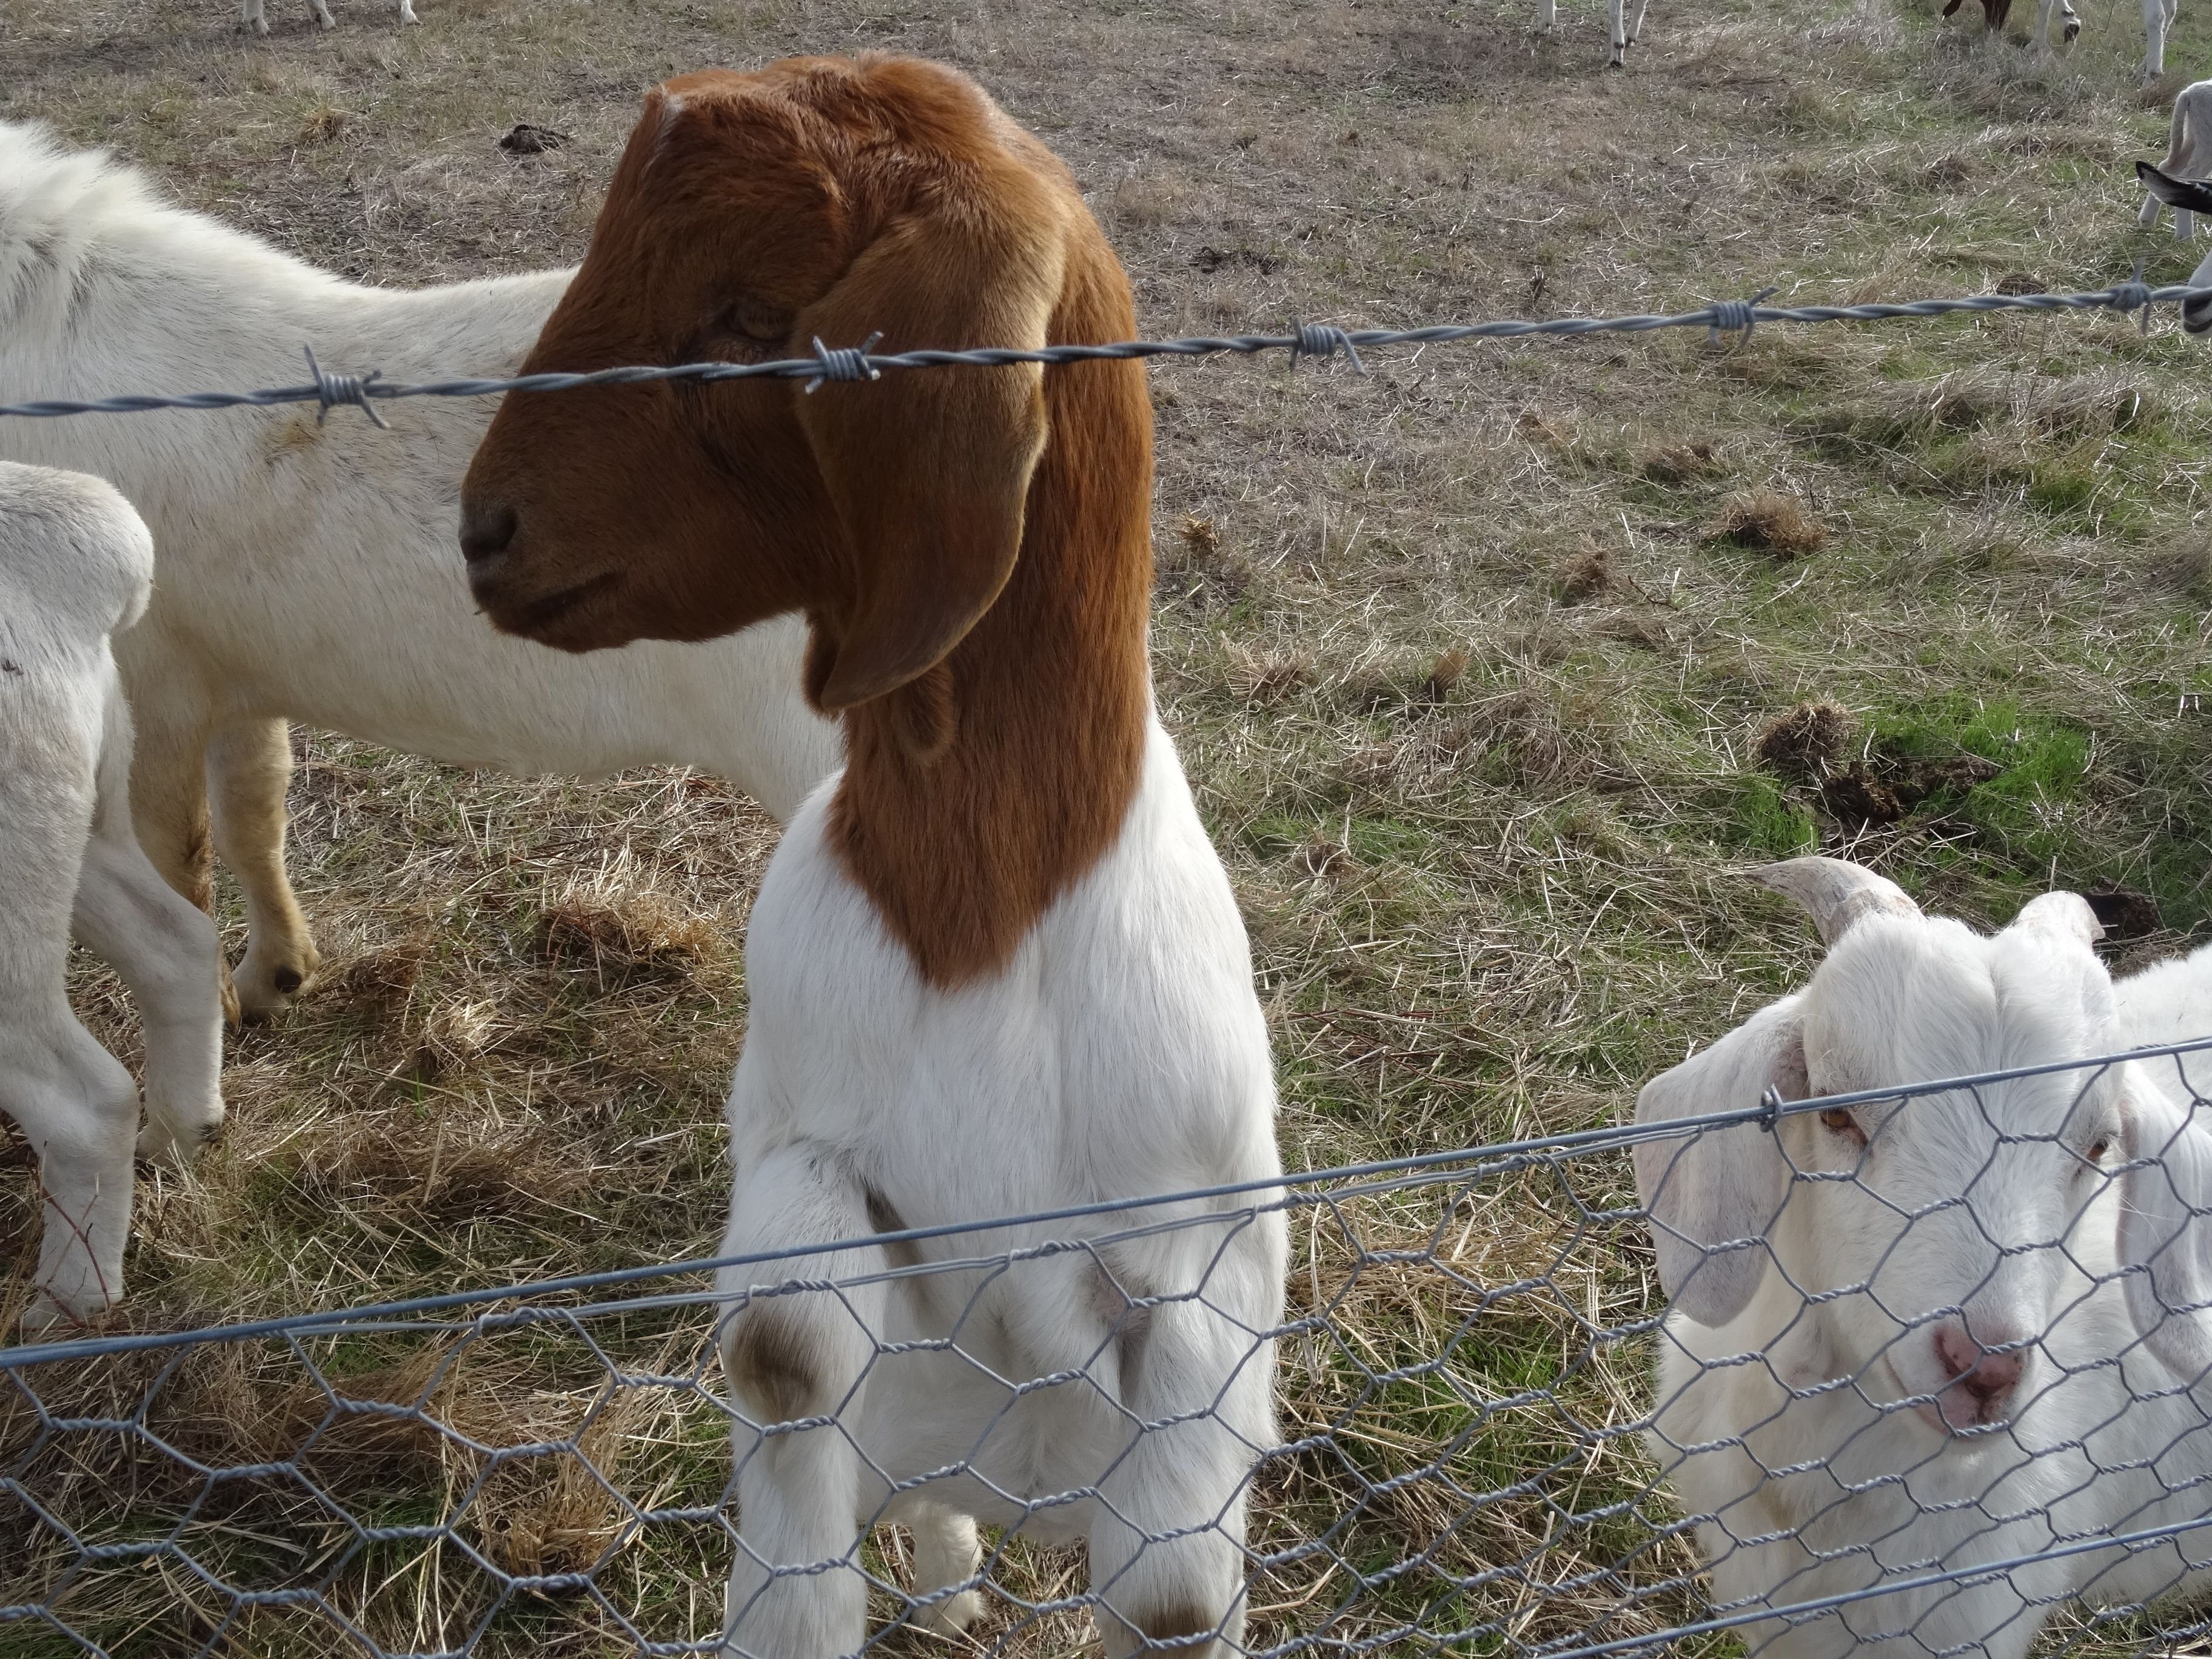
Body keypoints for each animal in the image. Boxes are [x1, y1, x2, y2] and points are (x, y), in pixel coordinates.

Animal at [0, 120, 841, 1023]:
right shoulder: (233, 673)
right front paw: (274, 977)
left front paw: (220, 1013)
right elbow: (252, 817)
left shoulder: (150, 687)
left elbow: (179, 863)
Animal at [456, 54, 1287, 1659]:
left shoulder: (1195, 1269)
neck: (982, 916)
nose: (484, 530)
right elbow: (784, 1345)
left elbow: (1171, 1594)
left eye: (747, 315)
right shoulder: (807, 1146)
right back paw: (953, 1579)